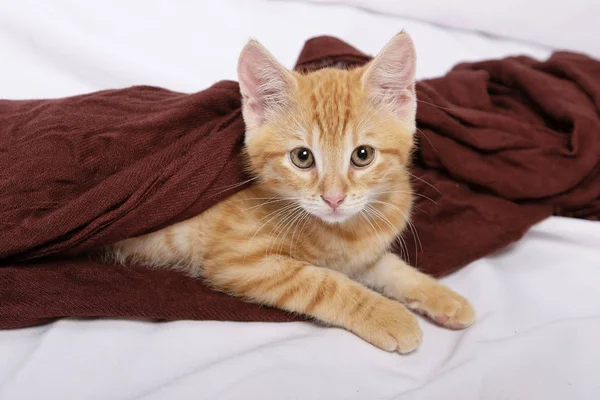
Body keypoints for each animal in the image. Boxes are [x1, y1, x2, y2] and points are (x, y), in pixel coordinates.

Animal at [111, 33, 474, 354]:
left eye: (363, 155)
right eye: (302, 157)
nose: (333, 198)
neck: (345, 232)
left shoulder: (360, 252)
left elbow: (391, 266)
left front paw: (444, 297)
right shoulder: (238, 259)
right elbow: (324, 283)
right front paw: (388, 316)